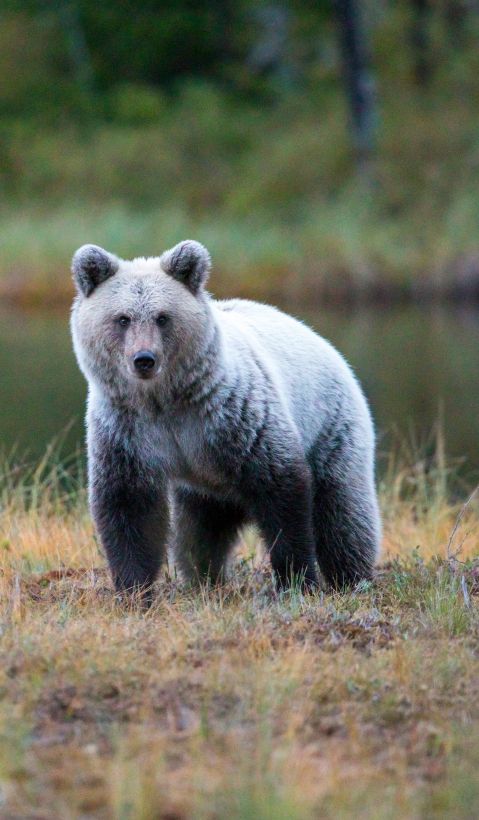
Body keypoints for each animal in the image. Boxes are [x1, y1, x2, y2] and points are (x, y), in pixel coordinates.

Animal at [70, 240, 381, 600]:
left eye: (162, 317)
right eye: (122, 318)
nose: (144, 359)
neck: (165, 401)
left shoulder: (234, 416)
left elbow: (282, 490)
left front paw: (297, 580)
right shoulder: (128, 431)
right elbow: (128, 506)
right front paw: (134, 589)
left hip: (330, 425)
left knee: (343, 512)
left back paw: (351, 578)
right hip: (204, 485)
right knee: (198, 533)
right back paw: (204, 576)